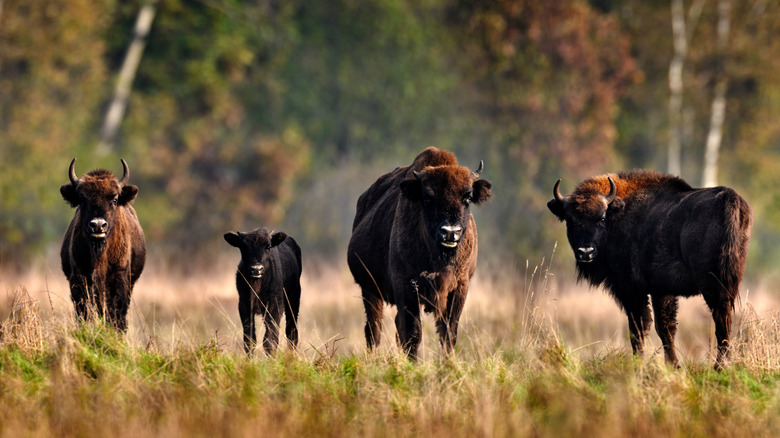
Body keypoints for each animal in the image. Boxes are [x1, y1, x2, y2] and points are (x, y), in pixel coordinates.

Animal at [59, 159, 146, 330]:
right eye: (82, 199)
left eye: (114, 199)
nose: (98, 225)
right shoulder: (79, 279)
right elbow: (84, 313)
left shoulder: (119, 278)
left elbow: (115, 314)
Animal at [348, 146, 490, 360]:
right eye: (428, 197)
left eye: (467, 197)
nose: (450, 232)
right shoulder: (406, 286)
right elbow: (413, 333)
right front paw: (413, 364)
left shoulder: (459, 287)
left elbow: (448, 333)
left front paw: (448, 363)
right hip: (370, 290)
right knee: (374, 330)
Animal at [544, 169, 752, 368]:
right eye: (569, 220)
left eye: (602, 218)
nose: (585, 252)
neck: (618, 215)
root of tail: (730, 199)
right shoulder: (662, 290)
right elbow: (666, 327)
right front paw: (673, 365)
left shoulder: (633, 290)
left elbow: (640, 328)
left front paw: (641, 364)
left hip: (711, 283)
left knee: (721, 317)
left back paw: (720, 366)